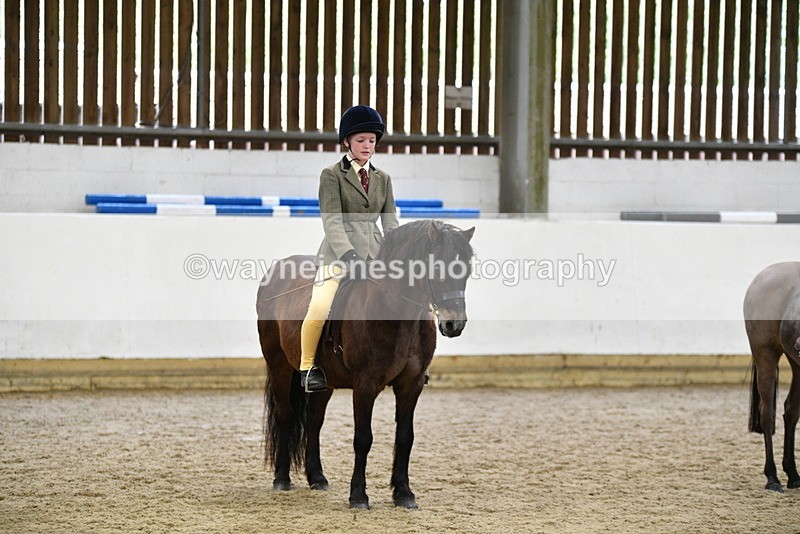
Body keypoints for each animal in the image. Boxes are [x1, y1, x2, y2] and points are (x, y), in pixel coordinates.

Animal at [256, 219, 475, 509]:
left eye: (466, 271)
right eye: (438, 268)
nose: (454, 325)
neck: (396, 312)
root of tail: (276, 270)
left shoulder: (411, 385)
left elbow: (405, 437)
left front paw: (404, 493)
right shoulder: (365, 385)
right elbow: (363, 438)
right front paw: (358, 495)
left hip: (324, 382)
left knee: (314, 420)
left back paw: (317, 478)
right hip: (278, 364)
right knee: (285, 414)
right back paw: (282, 479)